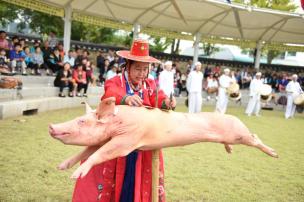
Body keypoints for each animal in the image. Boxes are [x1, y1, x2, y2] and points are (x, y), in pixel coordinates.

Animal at [49, 97, 278, 179]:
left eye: (81, 121)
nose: (51, 126)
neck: (119, 122)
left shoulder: (127, 140)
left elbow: (99, 154)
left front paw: (75, 176)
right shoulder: (104, 139)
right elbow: (86, 151)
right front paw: (61, 167)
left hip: (240, 132)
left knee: (255, 136)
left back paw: (275, 154)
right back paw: (230, 151)